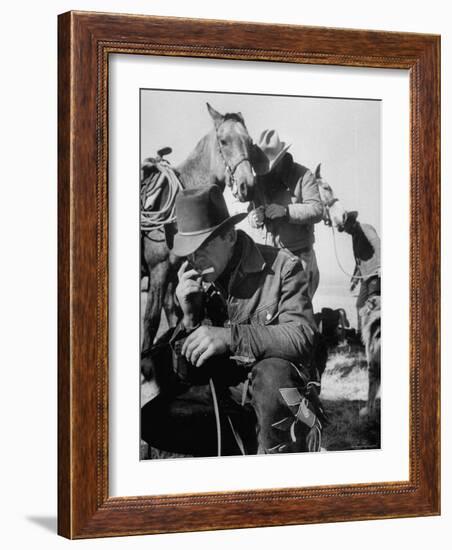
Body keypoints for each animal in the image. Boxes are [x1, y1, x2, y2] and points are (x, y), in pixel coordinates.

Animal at [140, 103, 254, 358]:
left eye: (250, 141)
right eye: (223, 141)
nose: (247, 185)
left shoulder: (174, 272)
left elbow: (174, 314)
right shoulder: (158, 270)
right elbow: (150, 321)